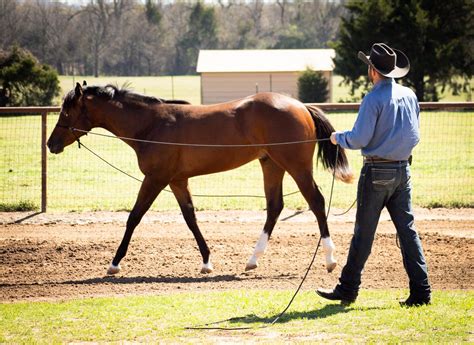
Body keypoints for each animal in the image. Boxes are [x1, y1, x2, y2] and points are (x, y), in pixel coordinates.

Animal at [47, 82, 352, 276]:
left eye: (66, 112)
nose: (51, 144)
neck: (152, 125)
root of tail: (300, 105)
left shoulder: (155, 179)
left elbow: (134, 217)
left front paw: (114, 264)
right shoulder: (177, 181)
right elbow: (190, 218)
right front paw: (206, 262)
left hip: (296, 166)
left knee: (316, 201)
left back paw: (330, 258)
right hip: (271, 165)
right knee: (274, 207)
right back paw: (252, 260)